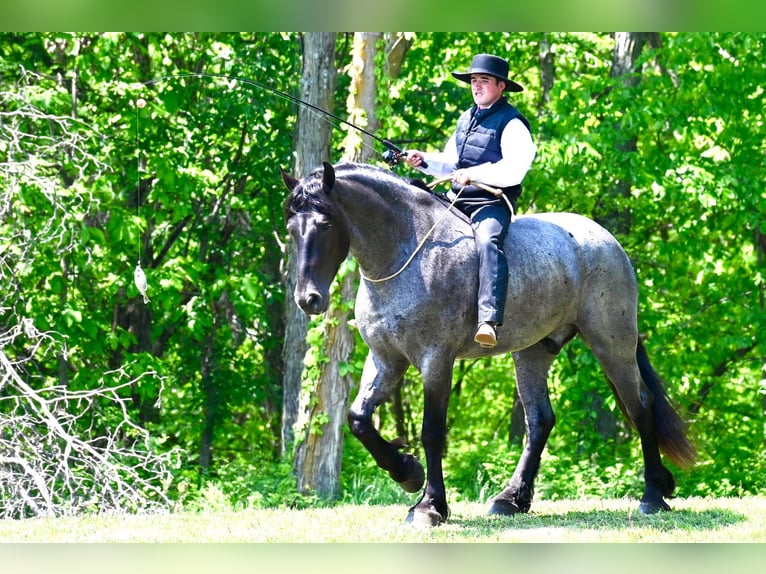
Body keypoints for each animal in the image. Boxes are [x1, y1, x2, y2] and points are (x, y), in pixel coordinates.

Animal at [280, 160, 696, 528]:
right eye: (292, 227)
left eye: (325, 223)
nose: (308, 299)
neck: (407, 253)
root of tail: (607, 242)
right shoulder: (386, 360)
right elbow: (358, 419)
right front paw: (407, 472)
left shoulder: (436, 360)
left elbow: (432, 431)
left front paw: (430, 506)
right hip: (532, 352)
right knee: (540, 420)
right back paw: (511, 499)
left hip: (612, 342)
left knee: (640, 405)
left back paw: (652, 496)